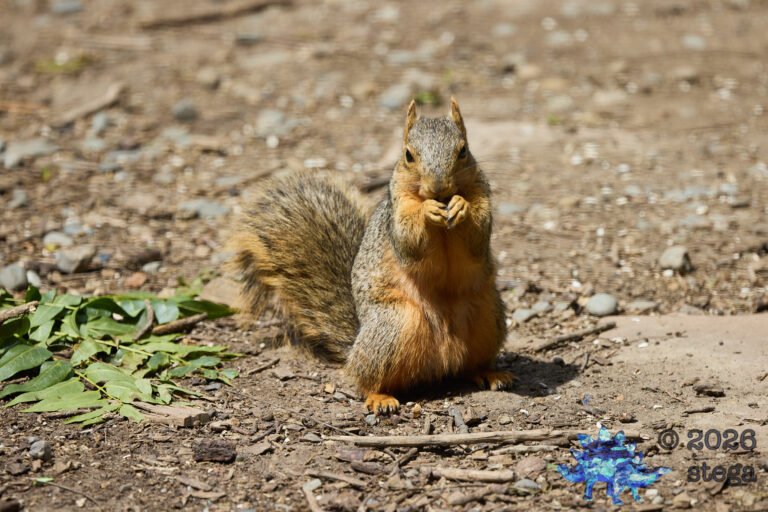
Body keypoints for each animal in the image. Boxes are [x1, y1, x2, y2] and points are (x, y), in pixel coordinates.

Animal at [230, 98, 513, 414]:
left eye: (463, 150)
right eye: (408, 155)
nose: (438, 188)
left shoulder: (482, 197)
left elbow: (479, 234)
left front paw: (461, 206)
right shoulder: (397, 213)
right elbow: (409, 240)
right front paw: (427, 211)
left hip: (488, 318)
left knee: (470, 365)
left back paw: (491, 373)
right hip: (394, 326)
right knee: (365, 378)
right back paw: (380, 397)